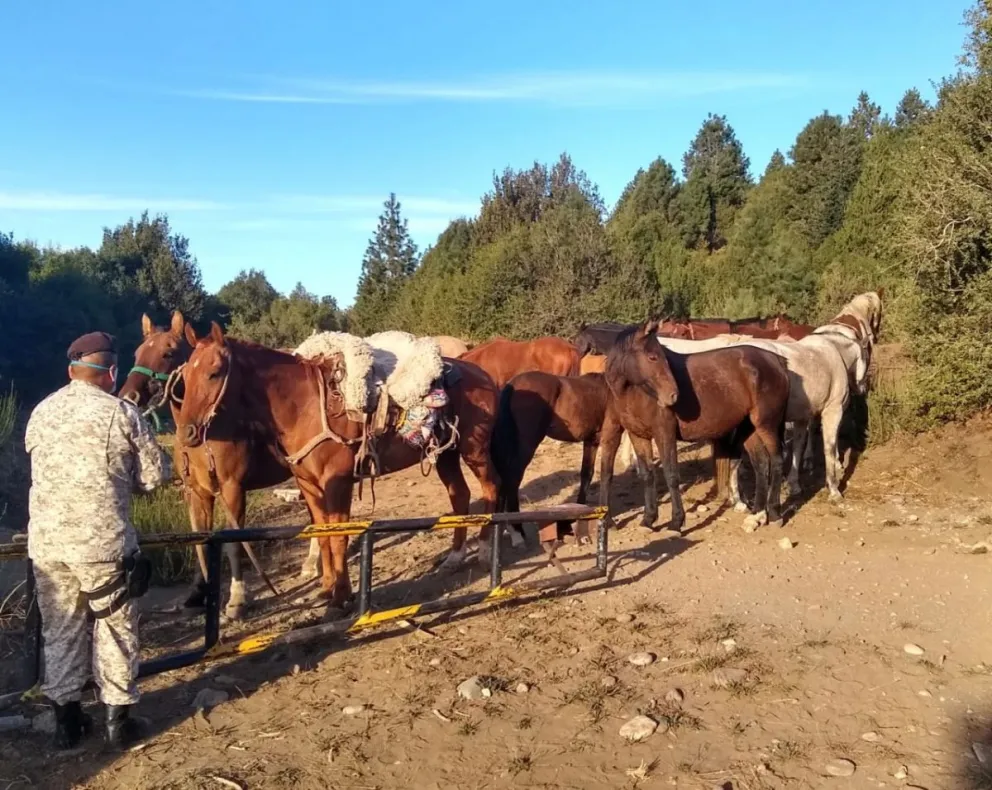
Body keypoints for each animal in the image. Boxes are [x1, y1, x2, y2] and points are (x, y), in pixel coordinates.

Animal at [119, 312, 304, 620]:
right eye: (138, 352)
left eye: (168, 352)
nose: (128, 396)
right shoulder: (198, 492)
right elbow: (201, 540)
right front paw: (199, 592)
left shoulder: (232, 489)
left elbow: (233, 544)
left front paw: (237, 599)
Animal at [175, 323, 501, 608]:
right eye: (185, 377)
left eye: (214, 373)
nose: (186, 433)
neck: (305, 406)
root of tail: (483, 373)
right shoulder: (308, 485)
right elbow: (322, 534)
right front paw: (327, 588)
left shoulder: (338, 483)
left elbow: (338, 536)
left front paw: (341, 596)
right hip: (446, 453)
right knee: (460, 496)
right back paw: (455, 557)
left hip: (474, 451)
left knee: (490, 489)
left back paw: (486, 551)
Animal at [600, 321, 790, 534]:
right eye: (652, 356)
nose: (673, 395)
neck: (634, 393)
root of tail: (776, 361)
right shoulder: (638, 435)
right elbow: (648, 475)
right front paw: (648, 520)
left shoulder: (664, 433)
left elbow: (671, 475)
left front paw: (676, 522)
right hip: (750, 428)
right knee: (762, 464)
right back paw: (756, 514)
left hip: (767, 425)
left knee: (777, 461)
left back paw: (774, 514)